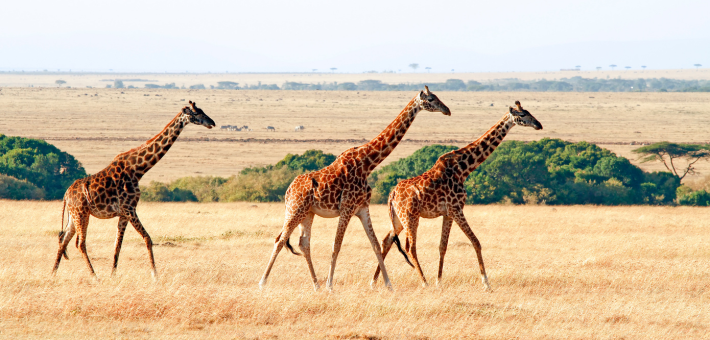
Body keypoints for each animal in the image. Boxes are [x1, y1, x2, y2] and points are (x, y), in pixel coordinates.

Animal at [52, 101, 216, 278]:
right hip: (81, 213)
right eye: (197, 113)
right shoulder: (130, 208)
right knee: (80, 243)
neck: (138, 170)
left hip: (74, 216)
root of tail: (66, 195)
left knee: (63, 240)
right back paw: (94, 277)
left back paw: (53, 274)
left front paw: (113, 275)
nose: (212, 123)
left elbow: (117, 246)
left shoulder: (123, 213)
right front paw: (155, 275)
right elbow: (147, 239)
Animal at [260, 86, 450, 290]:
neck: (367, 163)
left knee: (304, 244)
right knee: (280, 240)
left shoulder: (362, 208)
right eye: (431, 99)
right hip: (295, 210)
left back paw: (316, 285)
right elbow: (336, 245)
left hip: (308, 213)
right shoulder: (347, 208)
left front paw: (388, 285)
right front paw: (330, 286)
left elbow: (375, 244)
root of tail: (289, 190)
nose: (447, 110)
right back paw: (263, 283)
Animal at [372, 100, 544, 290]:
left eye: (529, 112)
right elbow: (476, 242)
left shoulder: (448, 213)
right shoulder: (457, 209)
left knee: (387, 240)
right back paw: (424, 282)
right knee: (410, 247)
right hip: (410, 216)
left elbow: (442, 246)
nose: (539, 124)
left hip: (398, 218)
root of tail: (392, 194)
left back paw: (375, 282)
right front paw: (486, 283)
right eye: (523, 115)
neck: (463, 169)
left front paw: (439, 281)